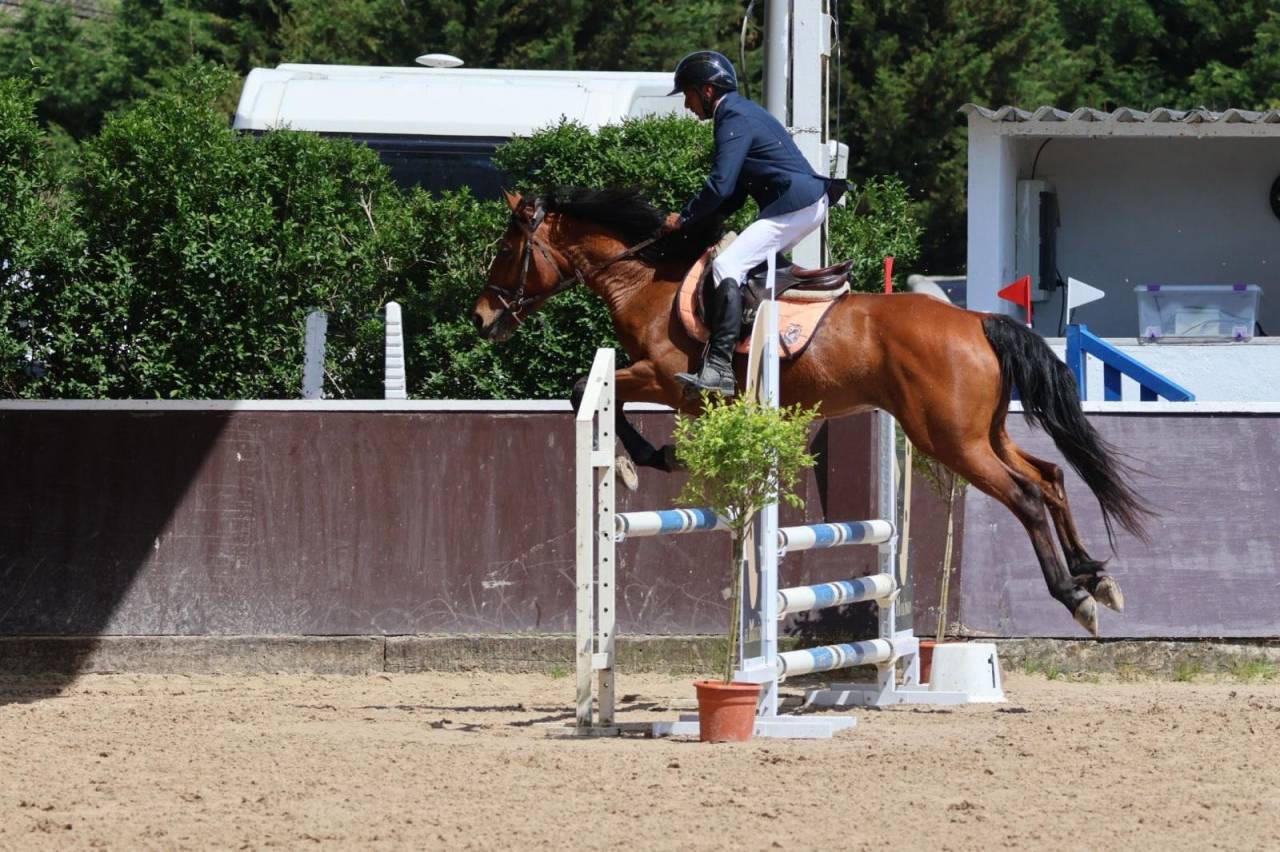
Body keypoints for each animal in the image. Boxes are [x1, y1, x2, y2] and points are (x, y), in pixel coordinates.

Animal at [472, 188, 1149, 635]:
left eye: (506, 247)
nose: (481, 318)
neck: (646, 280)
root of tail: (978, 321)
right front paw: (647, 459)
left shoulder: (667, 379)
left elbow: (581, 389)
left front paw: (644, 460)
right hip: (984, 432)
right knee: (1051, 476)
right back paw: (1096, 575)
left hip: (951, 441)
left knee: (1027, 495)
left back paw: (1075, 595)